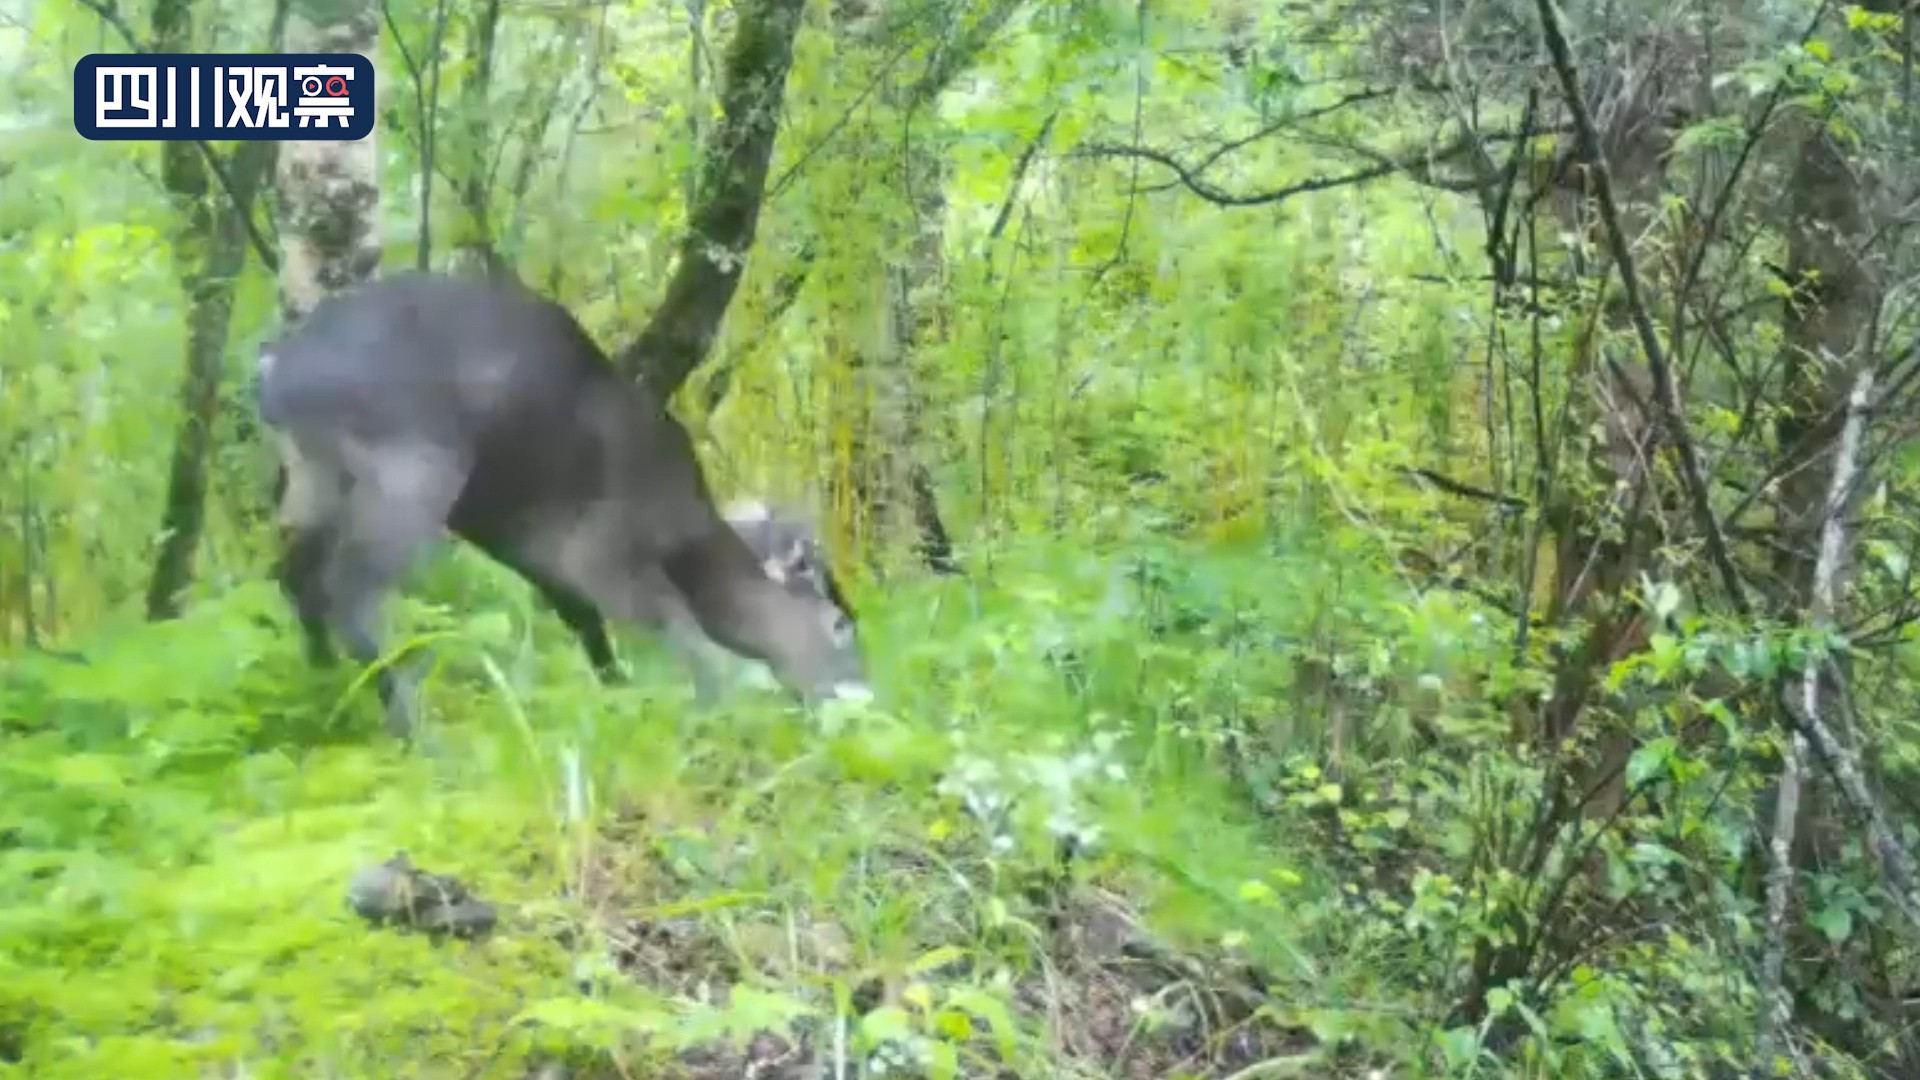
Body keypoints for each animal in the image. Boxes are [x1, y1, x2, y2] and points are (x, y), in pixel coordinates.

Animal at [259, 272, 875, 734]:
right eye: (840, 625)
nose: (861, 692)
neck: (683, 533)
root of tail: (273, 370)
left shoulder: (536, 550)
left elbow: (587, 625)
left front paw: (617, 699)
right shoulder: (602, 549)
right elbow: (678, 626)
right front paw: (713, 707)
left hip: (312, 481)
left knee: (295, 576)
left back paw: (323, 689)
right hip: (410, 468)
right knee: (350, 592)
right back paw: (418, 731)